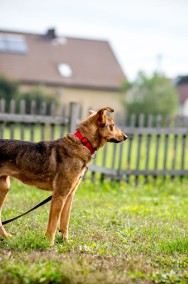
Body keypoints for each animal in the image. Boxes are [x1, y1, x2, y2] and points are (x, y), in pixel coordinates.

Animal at [0, 106, 127, 244]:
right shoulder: (59, 195)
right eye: (112, 125)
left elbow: (65, 222)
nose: (126, 136)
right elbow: (53, 224)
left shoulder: (69, 194)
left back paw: (6, 236)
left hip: (4, 187)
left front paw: (65, 241)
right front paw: (50, 244)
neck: (83, 142)